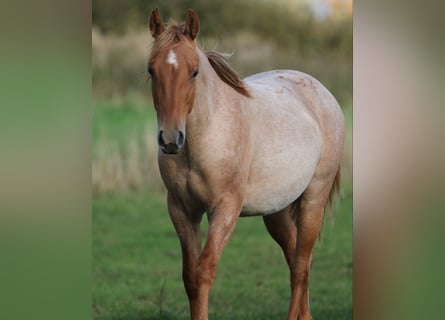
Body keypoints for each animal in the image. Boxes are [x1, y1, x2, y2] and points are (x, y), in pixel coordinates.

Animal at [146, 8, 344, 320]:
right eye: (151, 70)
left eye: (194, 71)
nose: (169, 139)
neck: (205, 135)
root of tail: (322, 92)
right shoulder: (182, 210)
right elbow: (189, 277)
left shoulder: (225, 209)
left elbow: (203, 272)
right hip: (277, 211)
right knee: (296, 257)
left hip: (314, 198)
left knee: (301, 266)